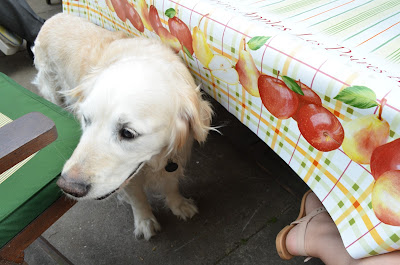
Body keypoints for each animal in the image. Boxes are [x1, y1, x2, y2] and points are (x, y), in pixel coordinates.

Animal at [33, 13, 214, 238]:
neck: (153, 161)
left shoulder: (177, 155)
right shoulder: (127, 176)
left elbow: (171, 184)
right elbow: (138, 199)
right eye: (86, 119)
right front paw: (145, 221)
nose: (68, 187)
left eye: (127, 133)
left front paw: (179, 205)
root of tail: (55, 16)